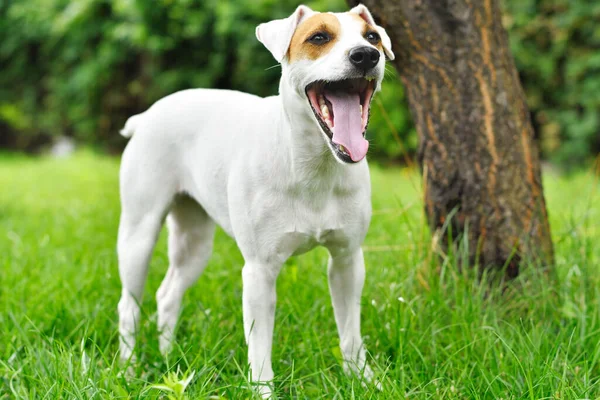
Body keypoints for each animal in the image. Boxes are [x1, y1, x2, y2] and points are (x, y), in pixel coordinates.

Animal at [118, 3, 396, 396]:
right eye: (319, 37)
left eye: (372, 37)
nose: (366, 55)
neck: (313, 164)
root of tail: (147, 115)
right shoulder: (259, 272)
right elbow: (260, 348)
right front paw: (263, 391)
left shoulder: (347, 261)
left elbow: (351, 333)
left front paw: (362, 380)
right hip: (138, 236)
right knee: (128, 305)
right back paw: (129, 370)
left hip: (194, 243)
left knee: (168, 295)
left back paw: (169, 359)